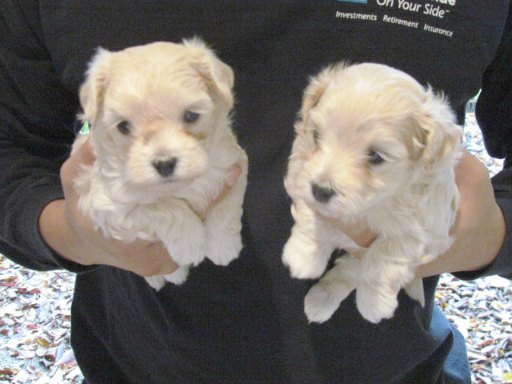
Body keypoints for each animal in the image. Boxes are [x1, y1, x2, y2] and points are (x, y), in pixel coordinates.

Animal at [72, 39, 248, 292]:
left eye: (191, 116)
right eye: (124, 126)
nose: (165, 164)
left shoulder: (235, 164)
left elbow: (227, 206)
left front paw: (223, 247)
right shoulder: (107, 204)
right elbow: (163, 206)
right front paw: (190, 243)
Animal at [282, 63, 462, 324]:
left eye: (376, 156)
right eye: (316, 136)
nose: (320, 190)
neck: (372, 206)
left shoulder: (427, 230)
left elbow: (385, 254)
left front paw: (374, 304)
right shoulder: (300, 171)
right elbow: (312, 218)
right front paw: (303, 257)